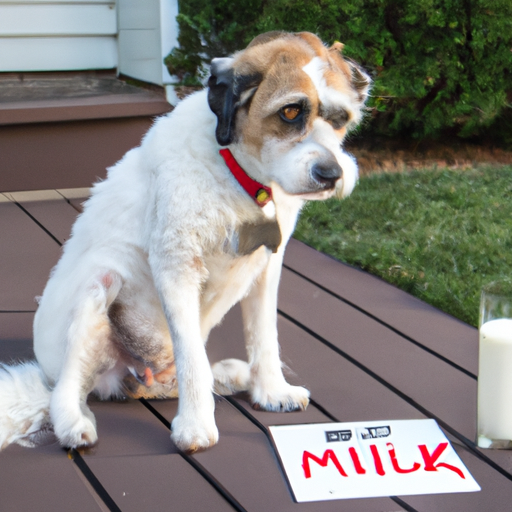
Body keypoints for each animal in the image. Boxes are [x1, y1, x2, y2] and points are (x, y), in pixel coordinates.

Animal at [0, 32, 368, 452]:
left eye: (341, 119)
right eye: (290, 112)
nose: (331, 174)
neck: (238, 172)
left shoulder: (266, 266)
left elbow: (264, 336)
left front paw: (272, 390)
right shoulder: (176, 266)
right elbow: (191, 355)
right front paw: (195, 425)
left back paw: (227, 375)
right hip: (98, 287)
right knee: (67, 388)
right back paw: (74, 423)